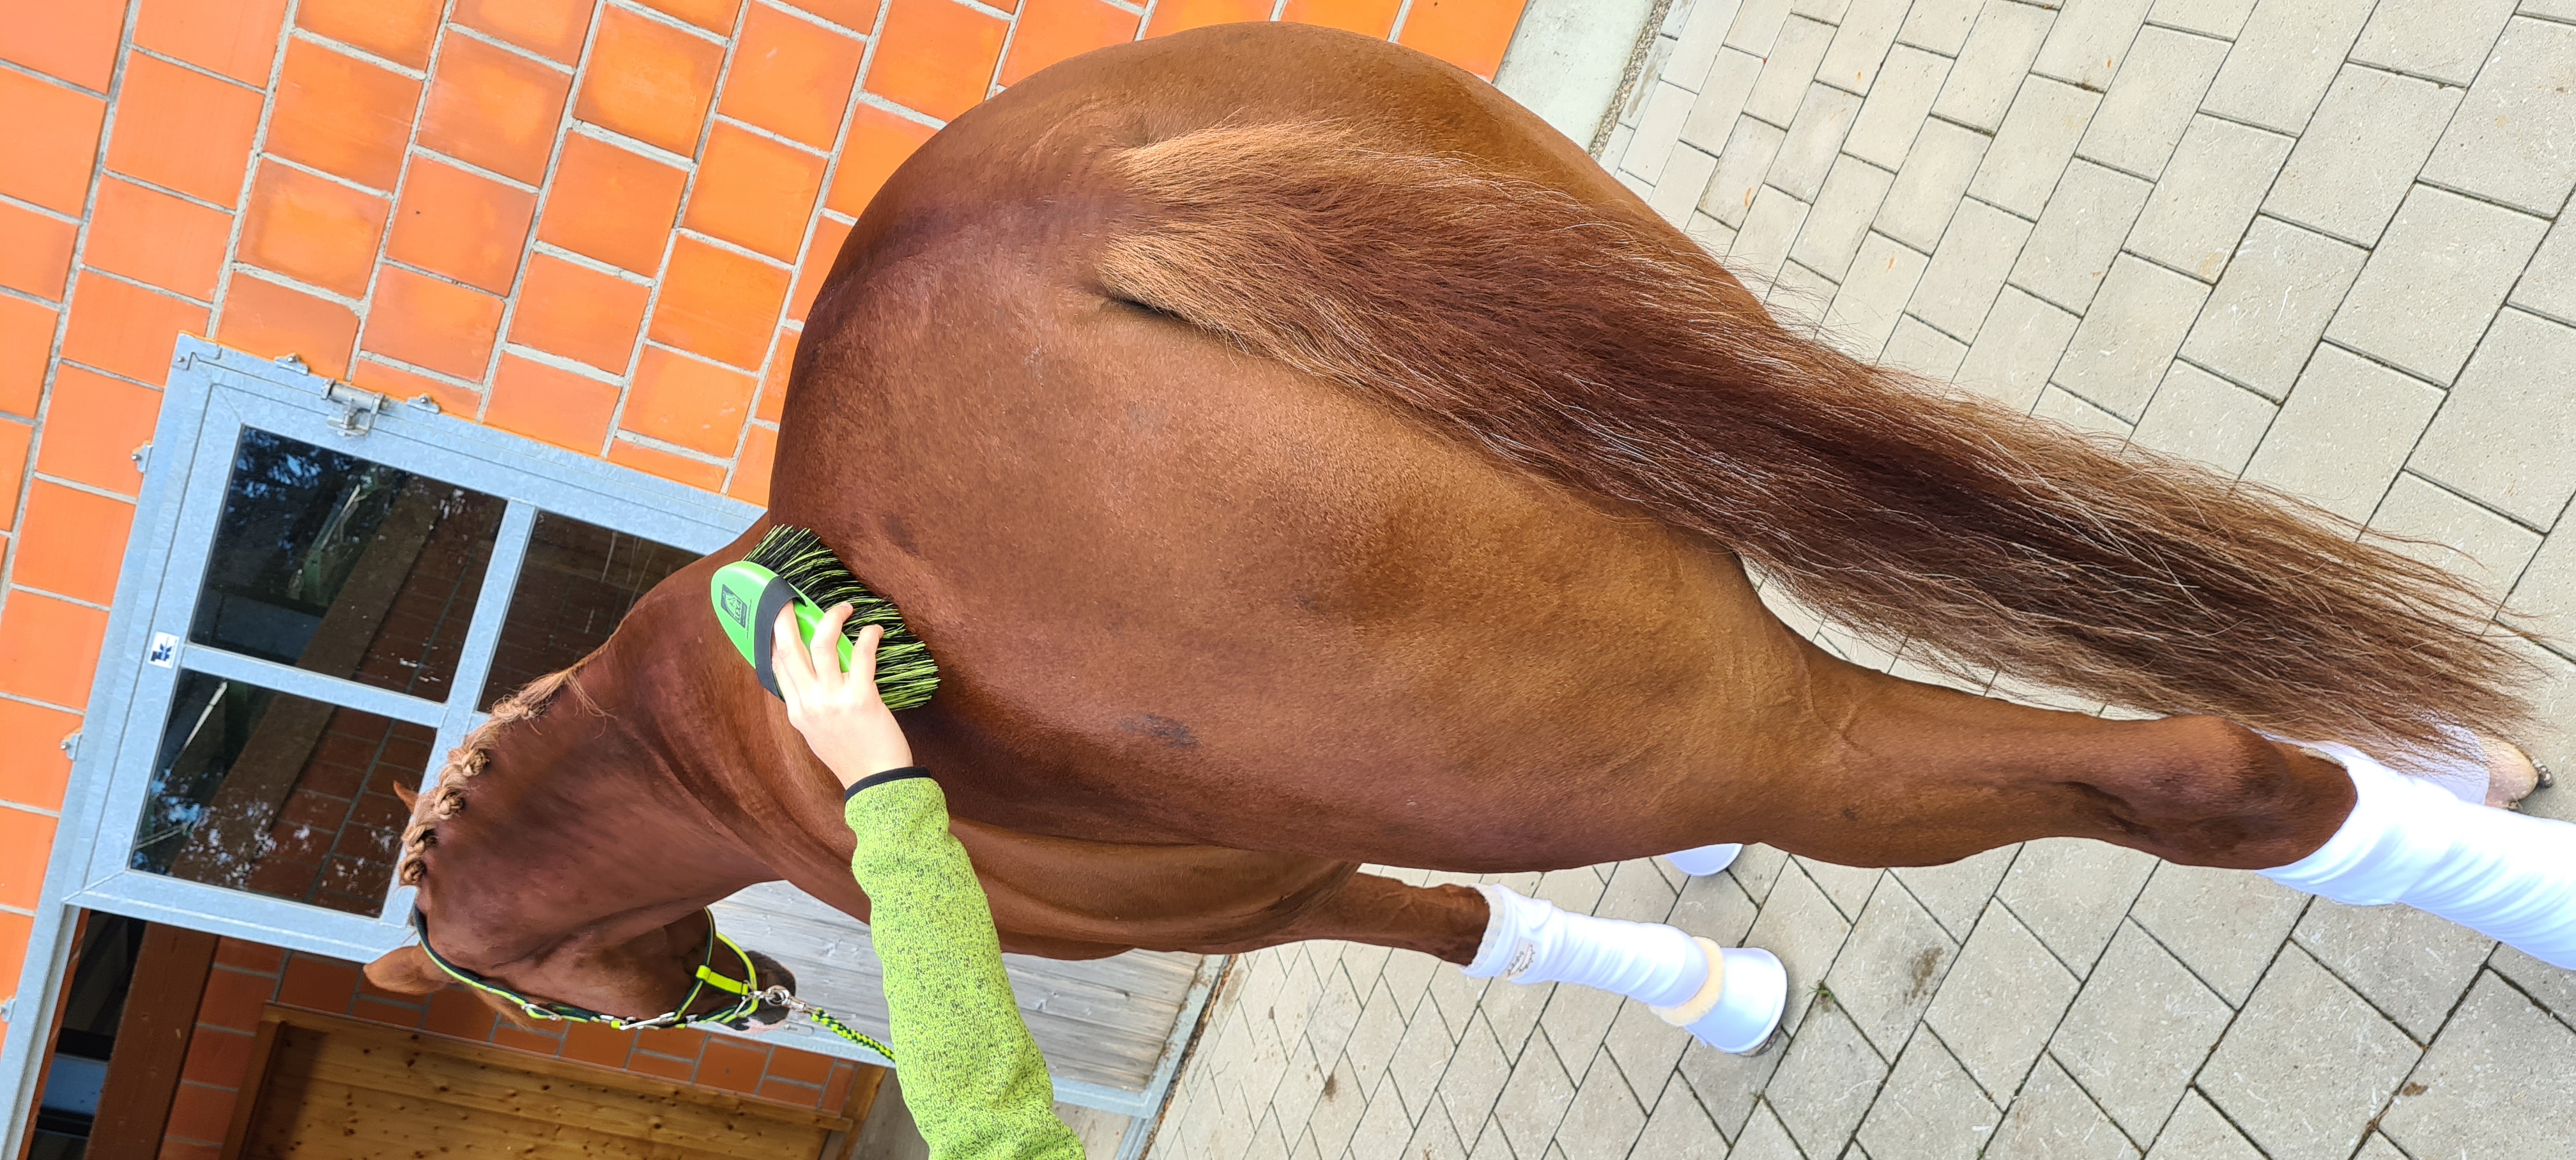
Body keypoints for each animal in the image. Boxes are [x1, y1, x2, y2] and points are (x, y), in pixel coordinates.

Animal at [361, 22, 2561, 1052]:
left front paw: (1711, 995)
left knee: (2208, 775)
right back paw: (2468, 767)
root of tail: (1068, 227)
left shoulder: (1271, 904)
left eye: (538, 988)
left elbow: (1472, 931)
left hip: (1723, 731)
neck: (713, 731)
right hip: (1693, 362)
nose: (747, 998)